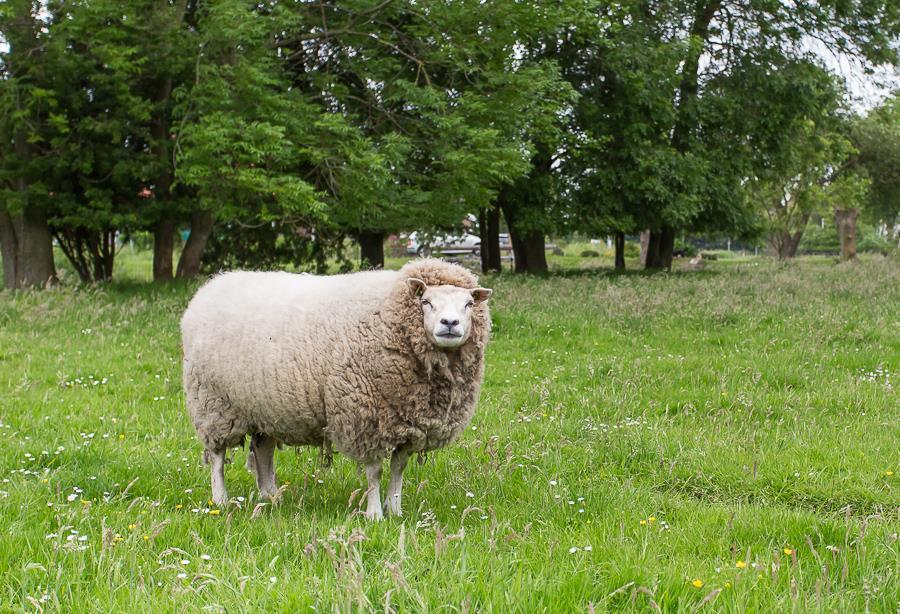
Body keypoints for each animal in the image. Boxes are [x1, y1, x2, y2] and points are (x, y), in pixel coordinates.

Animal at [181, 258, 492, 520]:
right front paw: (375, 515)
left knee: (263, 449)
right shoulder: (365, 419)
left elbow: (398, 469)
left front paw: (395, 510)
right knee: (217, 457)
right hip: (213, 403)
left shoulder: (407, 423)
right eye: (426, 302)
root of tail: (211, 286)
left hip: (262, 405)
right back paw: (221, 500)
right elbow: (375, 472)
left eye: (468, 304)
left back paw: (270, 497)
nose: (449, 323)